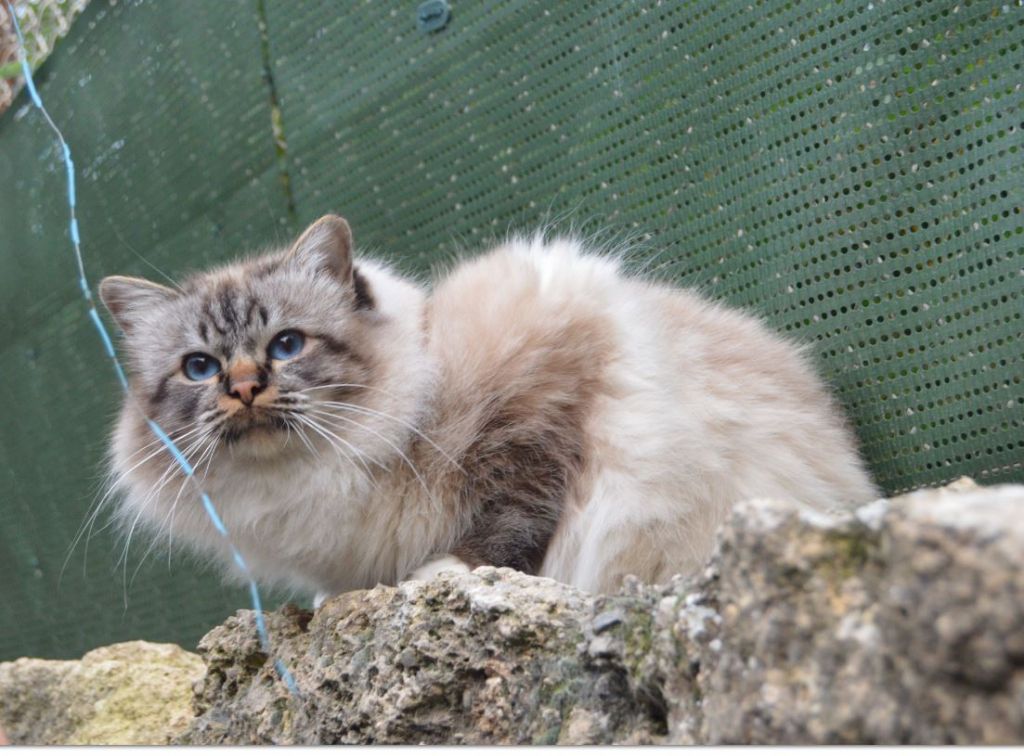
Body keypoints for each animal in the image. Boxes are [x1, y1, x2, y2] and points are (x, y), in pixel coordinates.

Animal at [99, 215, 876, 598]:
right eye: (200, 368)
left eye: (286, 345)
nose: (243, 388)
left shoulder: (537, 405)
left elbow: (511, 520)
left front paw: (448, 573)